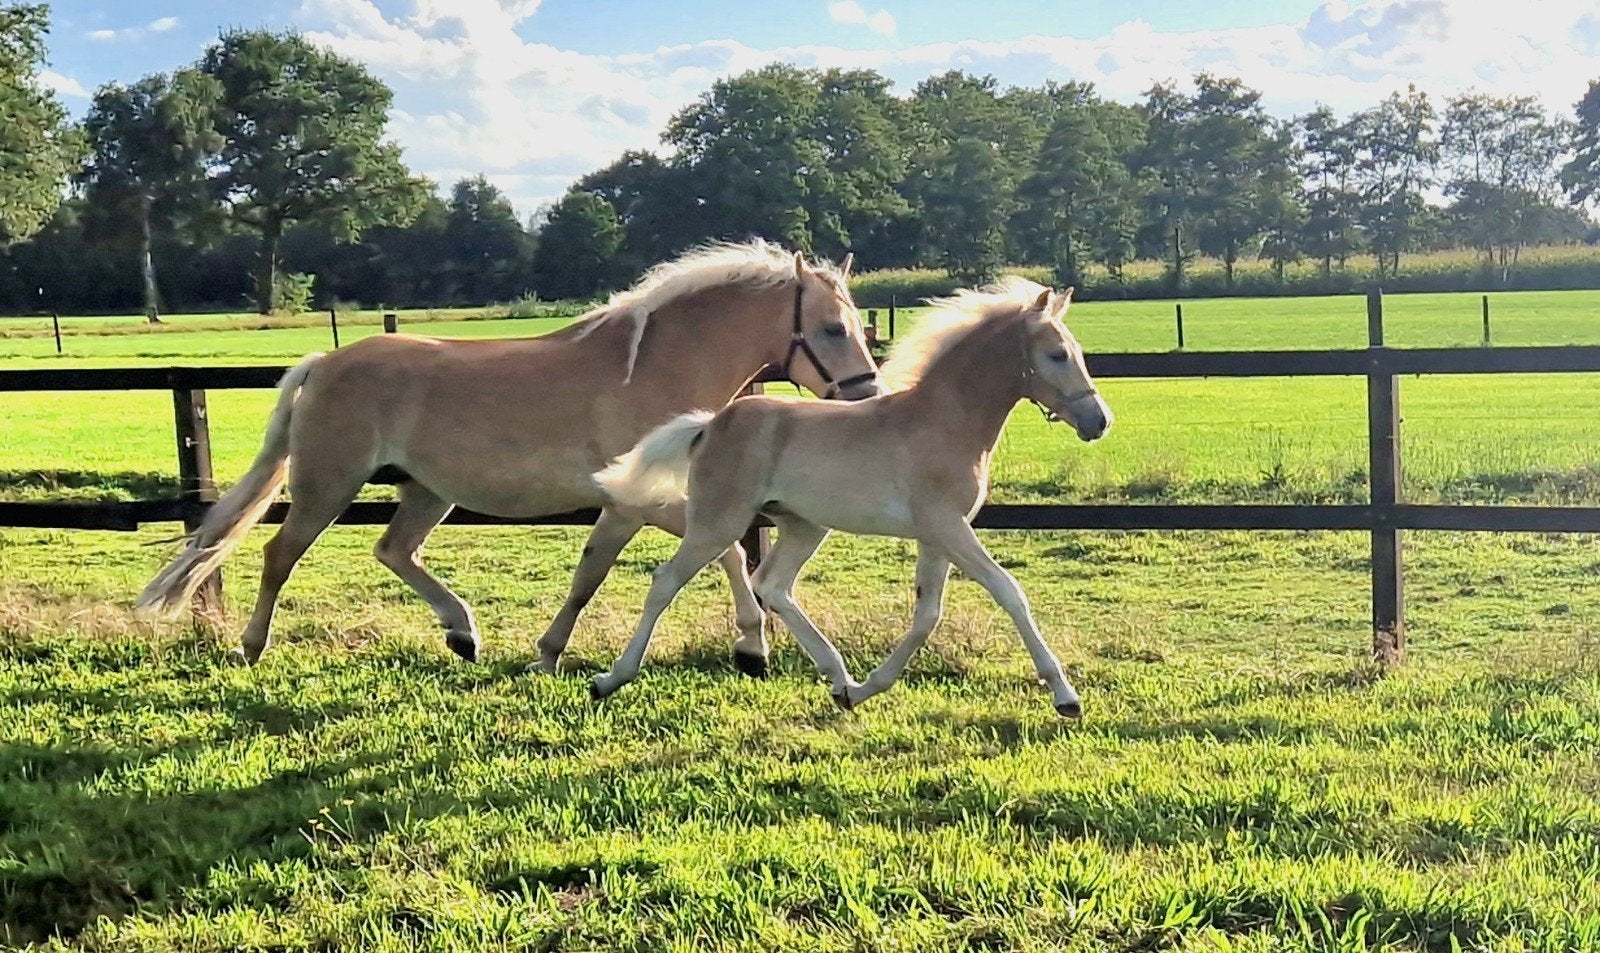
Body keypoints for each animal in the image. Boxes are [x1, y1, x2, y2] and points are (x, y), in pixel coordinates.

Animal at [137, 241, 884, 669]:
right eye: (830, 329)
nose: (868, 395)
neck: (652, 366)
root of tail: (323, 363)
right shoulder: (636, 501)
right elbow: (639, 566)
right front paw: (750, 645)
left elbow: (703, 556)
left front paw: (749, 645)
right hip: (328, 484)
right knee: (278, 553)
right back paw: (252, 646)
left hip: (427, 491)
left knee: (393, 550)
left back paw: (463, 635)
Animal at [590, 278, 1111, 717]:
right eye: (1058, 355)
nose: (1099, 421)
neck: (945, 420)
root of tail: (710, 425)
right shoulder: (947, 525)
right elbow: (1008, 591)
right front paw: (1066, 696)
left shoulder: (936, 535)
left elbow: (926, 615)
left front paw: (865, 689)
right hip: (718, 521)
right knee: (667, 580)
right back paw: (610, 679)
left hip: (803, 525)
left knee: (773, 585)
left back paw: (838, 678)